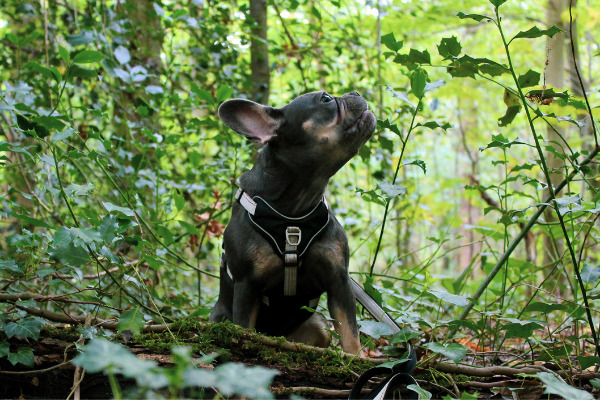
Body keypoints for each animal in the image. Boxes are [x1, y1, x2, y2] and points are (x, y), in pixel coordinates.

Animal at [211, 90, 376, 354]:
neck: (294, 212)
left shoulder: (339, 280)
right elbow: (244, 329)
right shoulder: (246, 285)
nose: (356, 92)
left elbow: (350, 332)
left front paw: (356, 358)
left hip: (318, 326)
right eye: (326, 99)